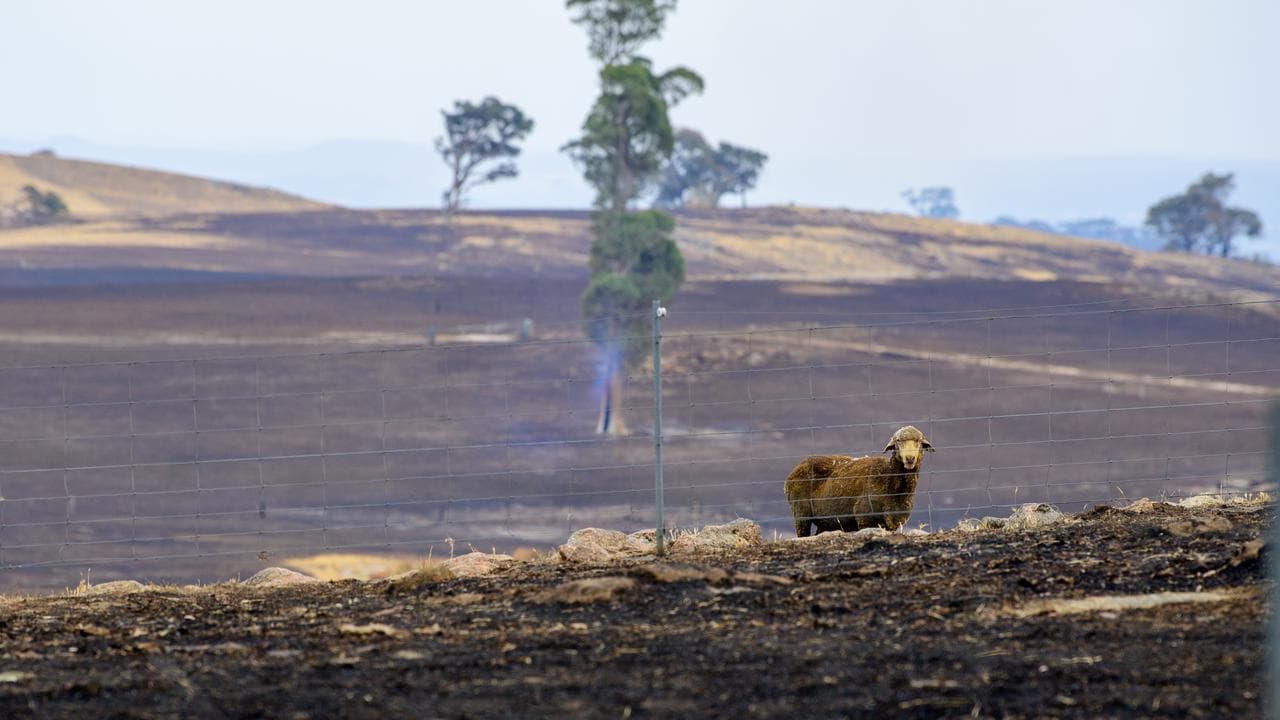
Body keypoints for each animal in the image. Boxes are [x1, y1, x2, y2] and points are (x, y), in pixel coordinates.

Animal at [784, 425, 934, 537]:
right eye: (898, 441)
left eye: (919, 441)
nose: (910, 458)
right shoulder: (865, 518)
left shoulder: (894, 522)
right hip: (801, 513)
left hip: (827, 521)